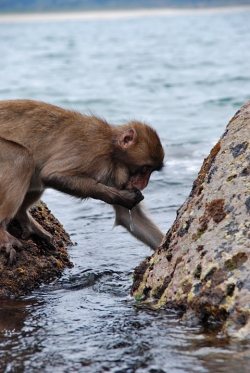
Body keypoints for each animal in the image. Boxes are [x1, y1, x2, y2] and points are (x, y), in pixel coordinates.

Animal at [0, 99, 165, 262]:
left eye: (151, 170)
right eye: (145, 168)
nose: (144, 183)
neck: (112, 152)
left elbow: (129, 218)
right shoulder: (93, 150)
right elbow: (51, 174)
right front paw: (120, 196)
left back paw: (23, 216)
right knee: (22, 158)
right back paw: (2, 231)